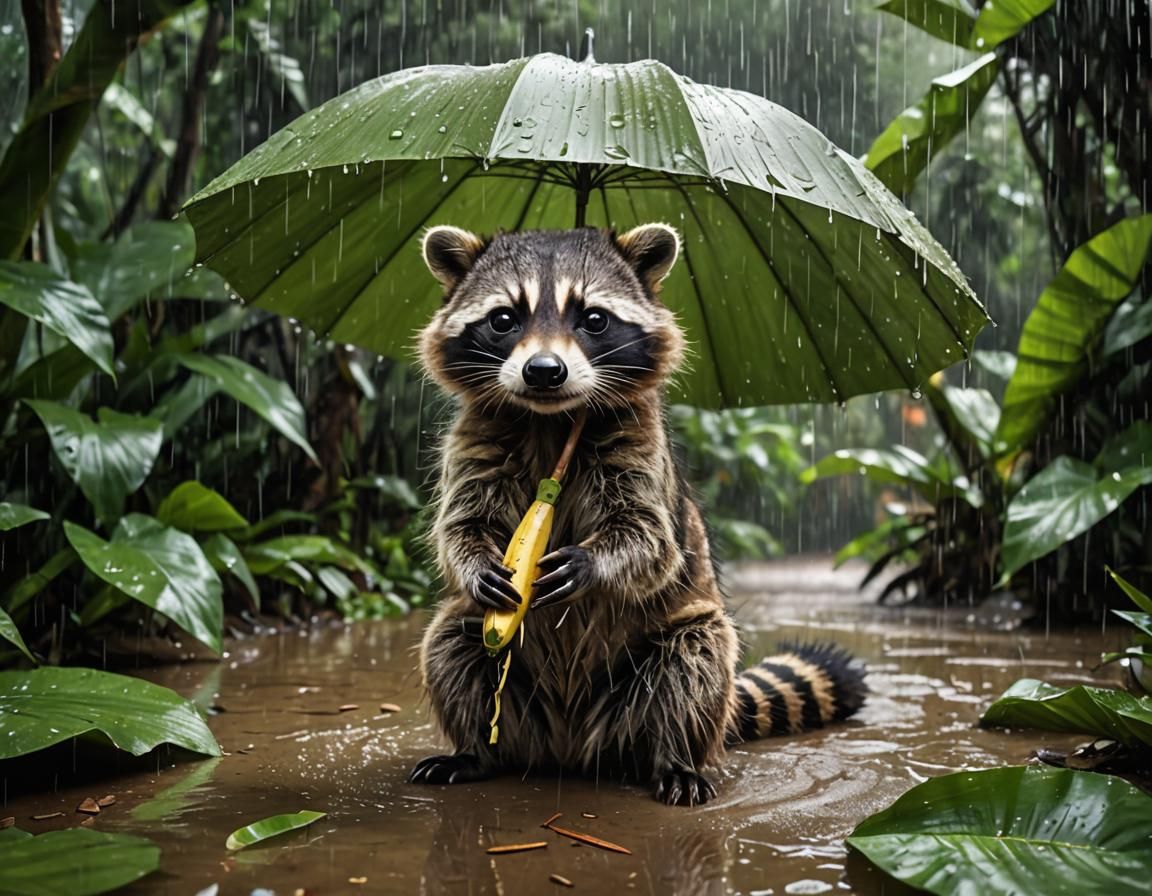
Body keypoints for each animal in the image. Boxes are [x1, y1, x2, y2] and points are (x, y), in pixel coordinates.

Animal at [409, 223, 867, 805]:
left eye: (594, 319)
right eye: (504, 319)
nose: (544, 373)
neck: (551, 420)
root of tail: (568, 750)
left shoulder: (639, 443)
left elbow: (649, 539)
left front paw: (592, 563)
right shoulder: (473, 439)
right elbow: (461, 525)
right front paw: (473, 563)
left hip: (658, 672)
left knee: (694, 660)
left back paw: (672, 757)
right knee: (450, 641)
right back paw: (474, 752)